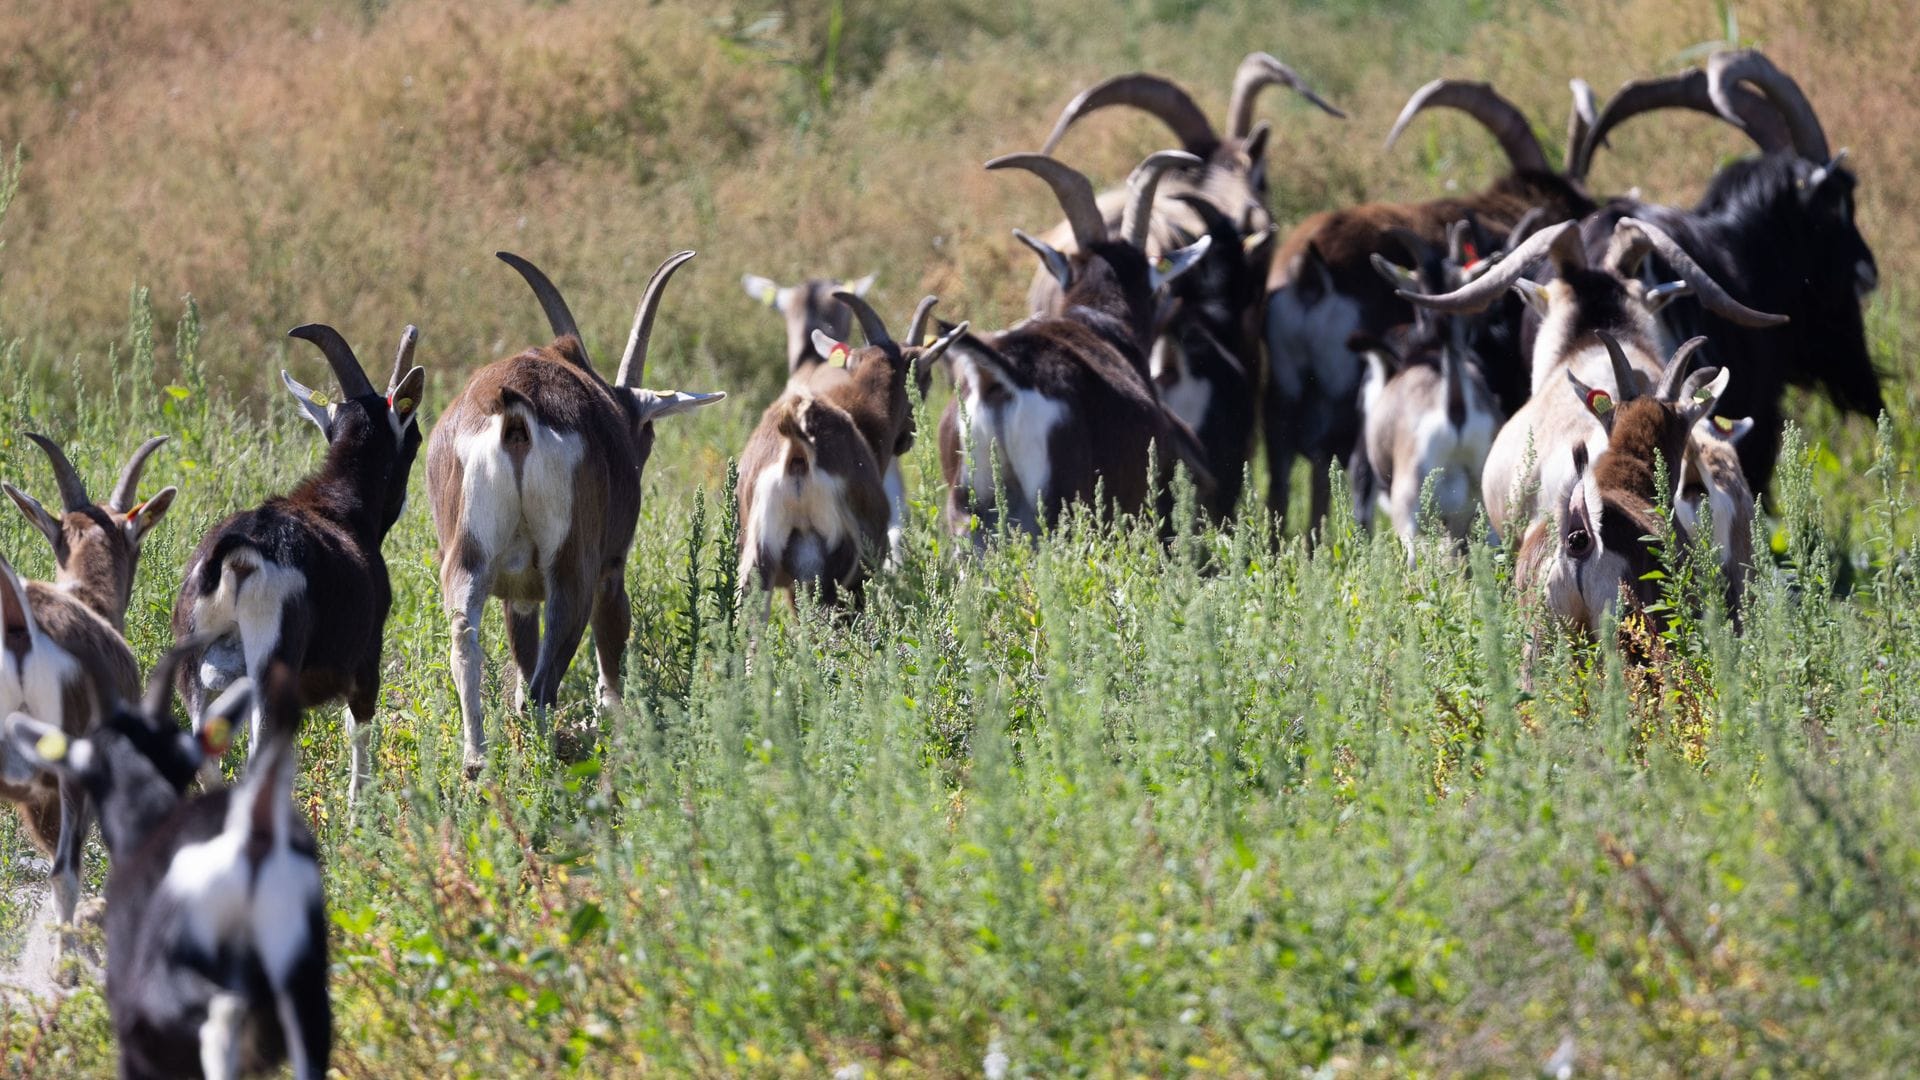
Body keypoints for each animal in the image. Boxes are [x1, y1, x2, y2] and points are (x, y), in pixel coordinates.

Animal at [172, 324, 426, 803]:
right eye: (415, 438)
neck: (336, 506)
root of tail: (238, 553)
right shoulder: (366, 659)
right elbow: (358, 730)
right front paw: (358, 807)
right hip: (271, 670)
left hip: (193, 666)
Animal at [428, 251, 725, 776]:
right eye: (646, 432)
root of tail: (515, 411)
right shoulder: (611, 568)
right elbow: (612, 643)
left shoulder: (519, 595)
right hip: (573, 571)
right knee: (542, 685)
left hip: (468, 562)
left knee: (468, 644)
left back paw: (477, 763)